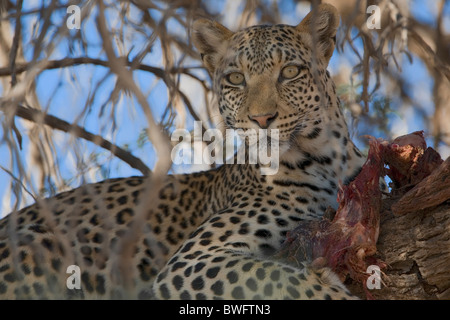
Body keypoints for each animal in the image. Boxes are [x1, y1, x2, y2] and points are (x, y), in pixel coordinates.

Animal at [0, 4, 366, 300]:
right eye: (236, 78)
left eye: (289, 72)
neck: (325, 160)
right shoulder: (192, 260)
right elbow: (273, 276)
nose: (262, 119)